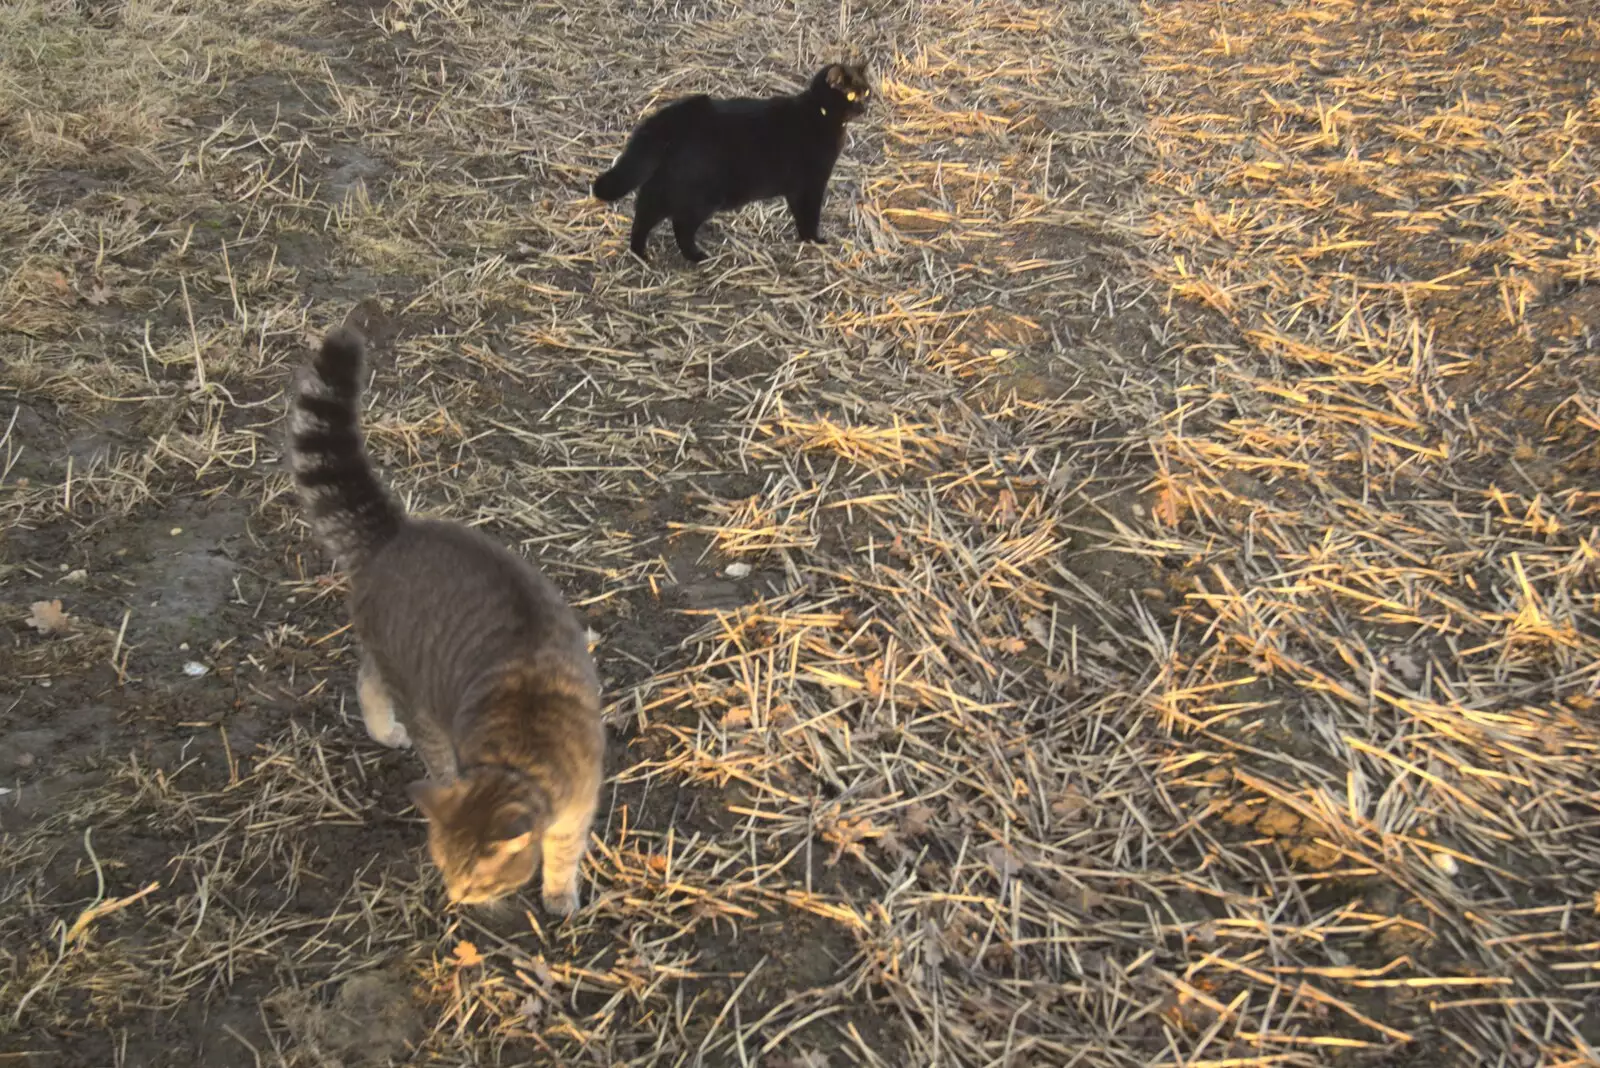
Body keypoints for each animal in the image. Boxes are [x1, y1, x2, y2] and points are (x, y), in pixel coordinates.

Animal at [288, 322, 604, 908]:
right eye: (444, 865)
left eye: (479, 877)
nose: (456, 897)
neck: (520, 759)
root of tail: (396, 532)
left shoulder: (577, 807)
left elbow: (564, 853)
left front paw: (559, 893)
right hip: (413, 682)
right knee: (377, 688)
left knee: (366, 676)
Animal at [592, 63, 870, 263]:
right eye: (851, 94)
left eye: (866, 91)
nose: (865, 106)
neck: (819, 113)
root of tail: (681, 113)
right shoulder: (812, 183)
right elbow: (810, 214)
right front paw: (814, 240)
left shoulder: (796, 189)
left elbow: (800, 214)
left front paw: (805, 239)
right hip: (701, 194)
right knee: (679, 224)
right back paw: (696, 257)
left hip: (669, 180)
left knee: (645, 209)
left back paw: (640, 251)